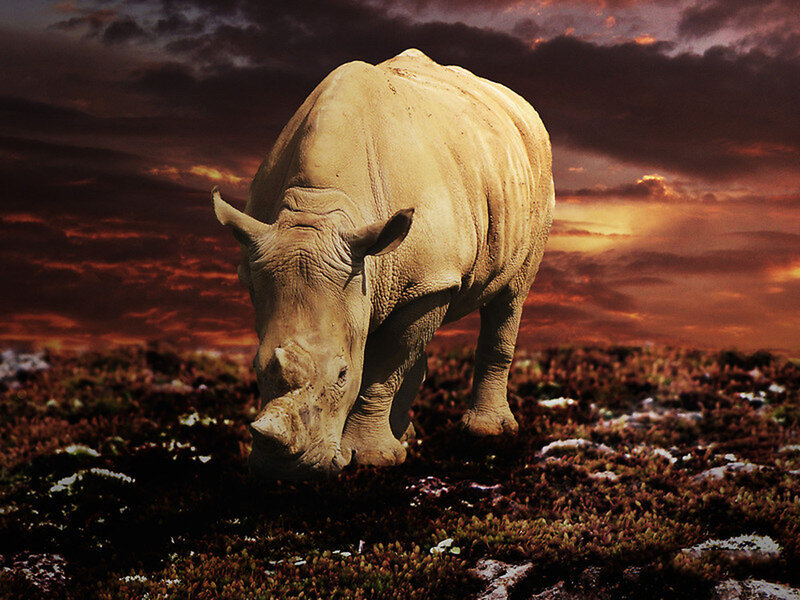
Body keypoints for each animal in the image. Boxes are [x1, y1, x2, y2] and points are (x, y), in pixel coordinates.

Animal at [213, 49, 554, 479]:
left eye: (342, 374)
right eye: (257, 367)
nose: (288, 471)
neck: (320, 209)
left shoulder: (428, 279)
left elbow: (382, 368)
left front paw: (372, 459)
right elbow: (393, 354)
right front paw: (382, 451)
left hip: (535, 175)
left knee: (510, 296)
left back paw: (487, 433)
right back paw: (405, 435)